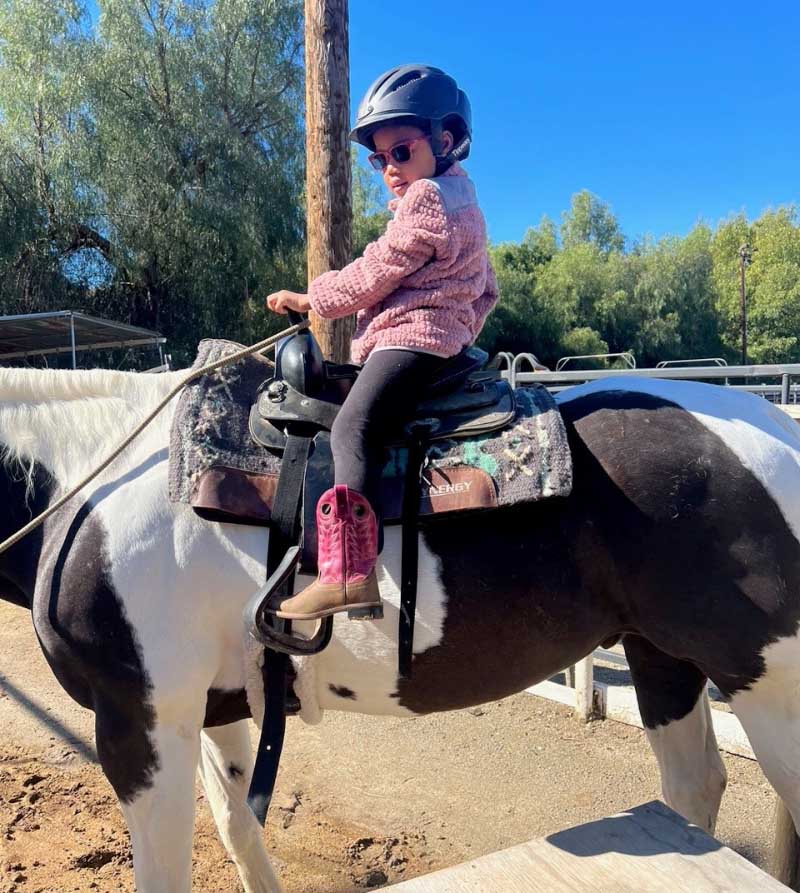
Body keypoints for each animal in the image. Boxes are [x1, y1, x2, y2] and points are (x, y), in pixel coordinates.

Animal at [1, 364, 800, 892]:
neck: (95, 482)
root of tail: (778, 428)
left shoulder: (137, 719)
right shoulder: (206, 709)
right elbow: (238, 827)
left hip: (768, 686)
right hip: (662, 655)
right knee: (694, 787)